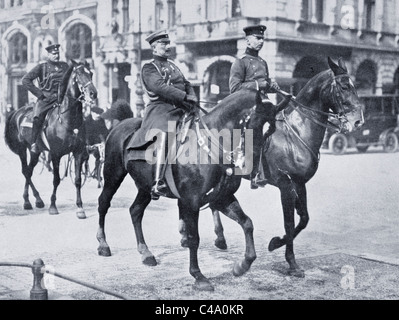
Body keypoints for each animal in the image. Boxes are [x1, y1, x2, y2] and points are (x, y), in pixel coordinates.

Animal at [4, 60, 97, 219]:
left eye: (90, 73)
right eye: (78, 75)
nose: (93, 93)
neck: (67, 119)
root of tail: (17, 112)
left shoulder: (78, 153)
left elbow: (78, 180)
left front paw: (80, 208)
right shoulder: (55, 154)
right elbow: (56, 179)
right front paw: (53, 206)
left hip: (35, 152)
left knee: (29, 170)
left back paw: (35, 200)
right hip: (22, 149)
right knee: (25, 171)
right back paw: (30, 202)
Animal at [97, 89, 278, 292]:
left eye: (271, 130)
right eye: (254, 124)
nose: (254, 171)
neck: (208, 146)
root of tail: (122, 124)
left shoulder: (221, 198)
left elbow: (247, 223)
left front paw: (242, 265)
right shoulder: (191, 202)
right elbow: (194, 238)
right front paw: (198, 276)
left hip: (144, 187)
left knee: (135, 211)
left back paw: (145, 253)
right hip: (113, 175)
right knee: (104, 203)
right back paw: (103, 245)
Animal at [203, 57, 366, 278]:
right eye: (344, 86)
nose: (358, 121)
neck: (297, 131)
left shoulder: (299, 184)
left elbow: (304, 218)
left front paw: (276, 243)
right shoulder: (286, 185)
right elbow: (289, 222)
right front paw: (291, 262)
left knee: (214, 201)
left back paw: (219, 238)